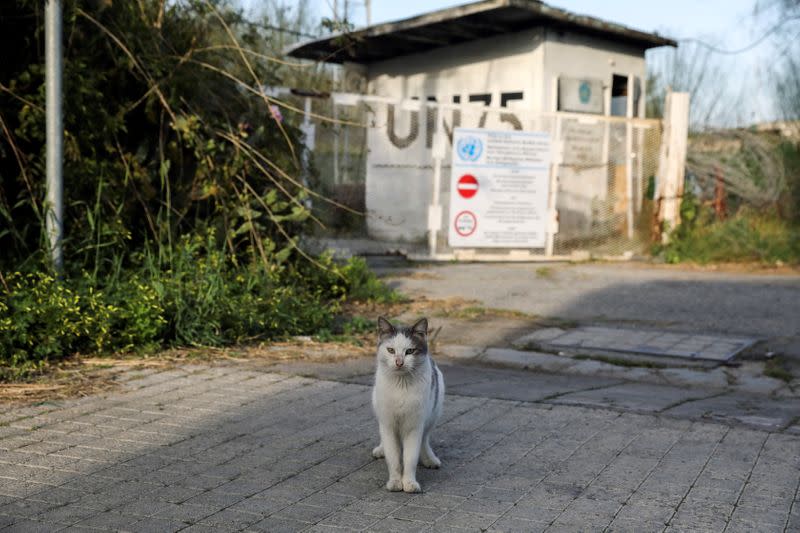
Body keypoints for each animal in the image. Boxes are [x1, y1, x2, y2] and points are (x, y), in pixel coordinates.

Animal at [370, 314, 444, 492]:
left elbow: (410, 457)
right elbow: (394, 457)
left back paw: (429, 458)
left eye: (410, 351)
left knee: (425, 439)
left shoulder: (414, 426)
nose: (399, 362)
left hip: (433, 413)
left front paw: (410, 483)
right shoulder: (388, 424)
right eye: (390, 350)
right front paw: (395, 482)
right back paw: (381, 449)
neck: (401, 385)